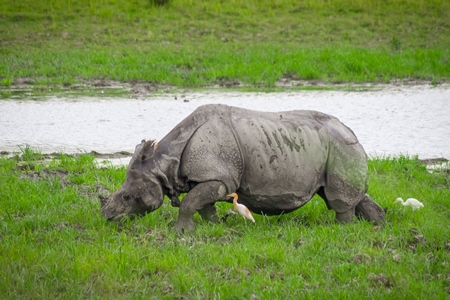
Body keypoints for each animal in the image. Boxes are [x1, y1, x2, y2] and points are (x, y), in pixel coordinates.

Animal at [100, 104, 384, 233]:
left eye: (127, 197)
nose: (107, 217)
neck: (163, 163)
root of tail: (350, 130)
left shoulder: (219, 178)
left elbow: (189, 203)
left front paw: (180, 232)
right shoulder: (210, 178)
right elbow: (202, 205)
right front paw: (213, 227)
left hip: (340, 148)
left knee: (338, 198)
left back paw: (341, 229)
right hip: (335, 150)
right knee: (344, 194)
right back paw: (376, 226)